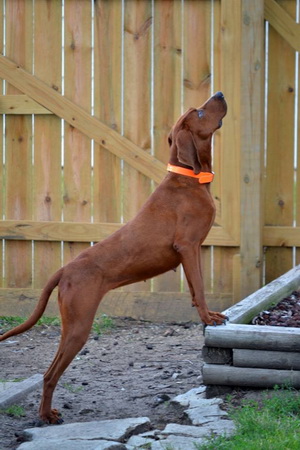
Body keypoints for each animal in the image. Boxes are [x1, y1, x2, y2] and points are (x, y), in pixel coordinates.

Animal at [0, 90, 227, 422]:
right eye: (198, 113)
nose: (220, 93)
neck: (189, 178)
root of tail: (64, 270)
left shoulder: (191, 251)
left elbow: (195, 290)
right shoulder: (188, 246)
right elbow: (199, 286)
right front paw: (208, 318)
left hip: (73, 324)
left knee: (48, 371)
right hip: (79, 326)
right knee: (50, 374)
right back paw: (46, 416)